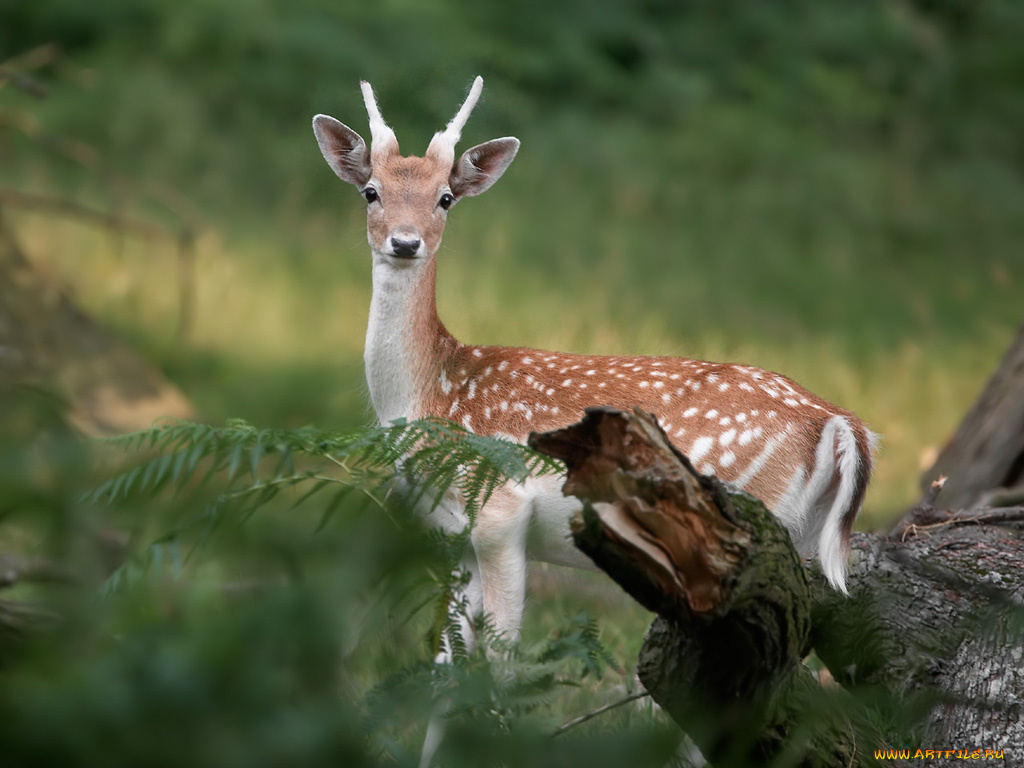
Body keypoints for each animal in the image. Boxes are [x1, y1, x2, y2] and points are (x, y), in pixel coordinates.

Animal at [309, 73, 872, 651]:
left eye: (445, 198)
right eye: (371, 191)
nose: (405, 242)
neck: (430, 393)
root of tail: (840, 424)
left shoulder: (499, 511)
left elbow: (500, 652)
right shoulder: (454, 533)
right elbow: (449, 654)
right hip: (801, 538)